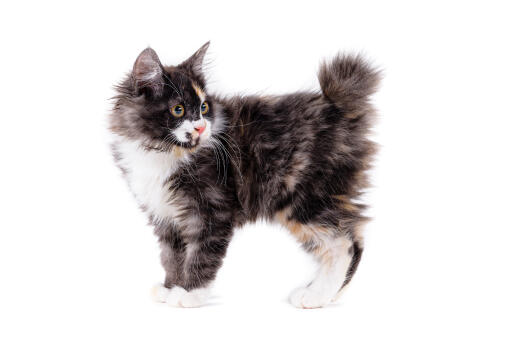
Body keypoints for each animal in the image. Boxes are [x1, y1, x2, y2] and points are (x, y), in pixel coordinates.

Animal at [109, 42, 380, 308]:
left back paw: (316, 296)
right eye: (178, 109)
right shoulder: (164, 215)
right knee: (352, 239)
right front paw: (170, 287)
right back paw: (328, 294)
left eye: (204, 107)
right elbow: (171, 255)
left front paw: (190, 293)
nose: (201, 127)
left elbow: (201, 254)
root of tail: (334, 106)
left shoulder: (211, 210)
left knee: (343, 244)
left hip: (305, 198)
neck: (163, 151)